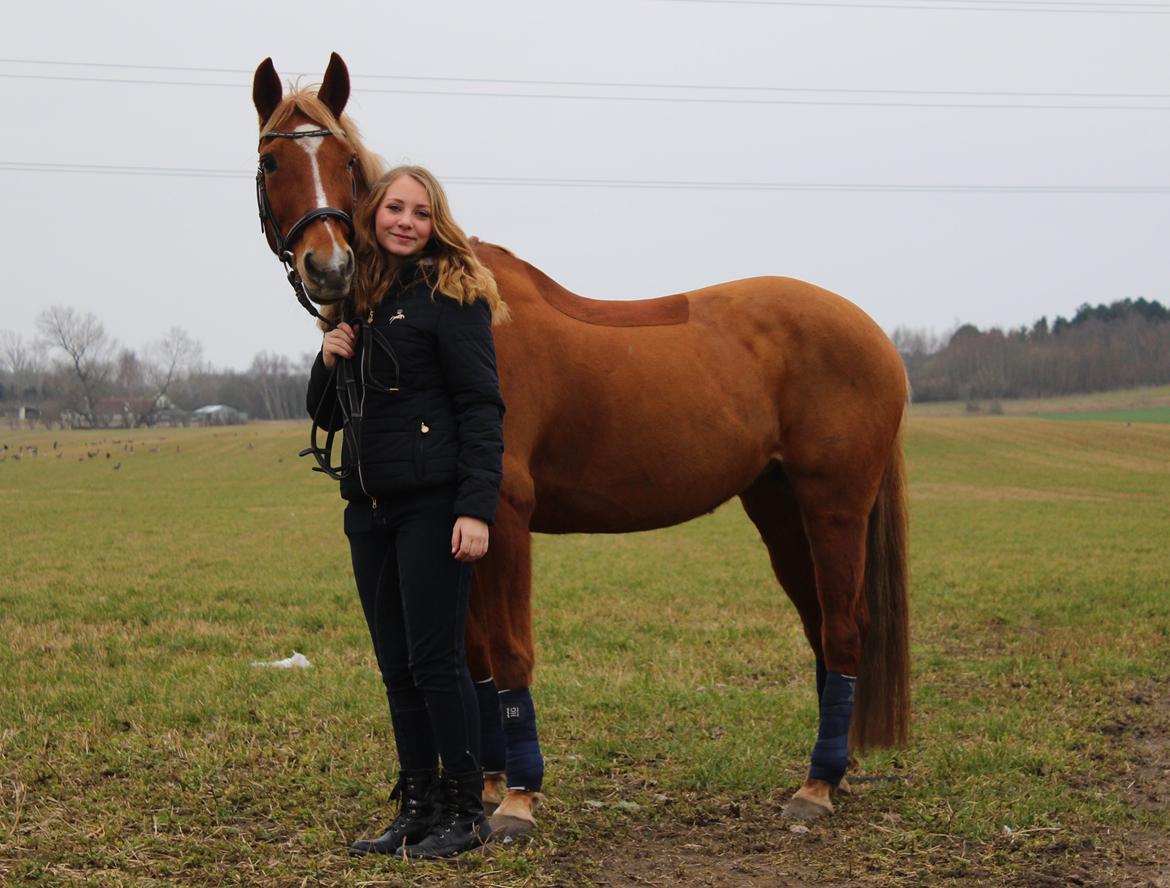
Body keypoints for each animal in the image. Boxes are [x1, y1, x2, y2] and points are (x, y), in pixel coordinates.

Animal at [251, 53, 912, 833]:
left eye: (347, 161)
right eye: (270, 160)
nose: (329, 267)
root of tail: (873, 334)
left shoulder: (501, 517)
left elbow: (510, 653)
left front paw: (519, 798)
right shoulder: (450, 533)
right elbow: (475, 660)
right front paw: (486, 786)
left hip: (834, 506)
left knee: (845, 629)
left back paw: (817, 787)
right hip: (779, 506)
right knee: (820, 628)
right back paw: (829, 774)